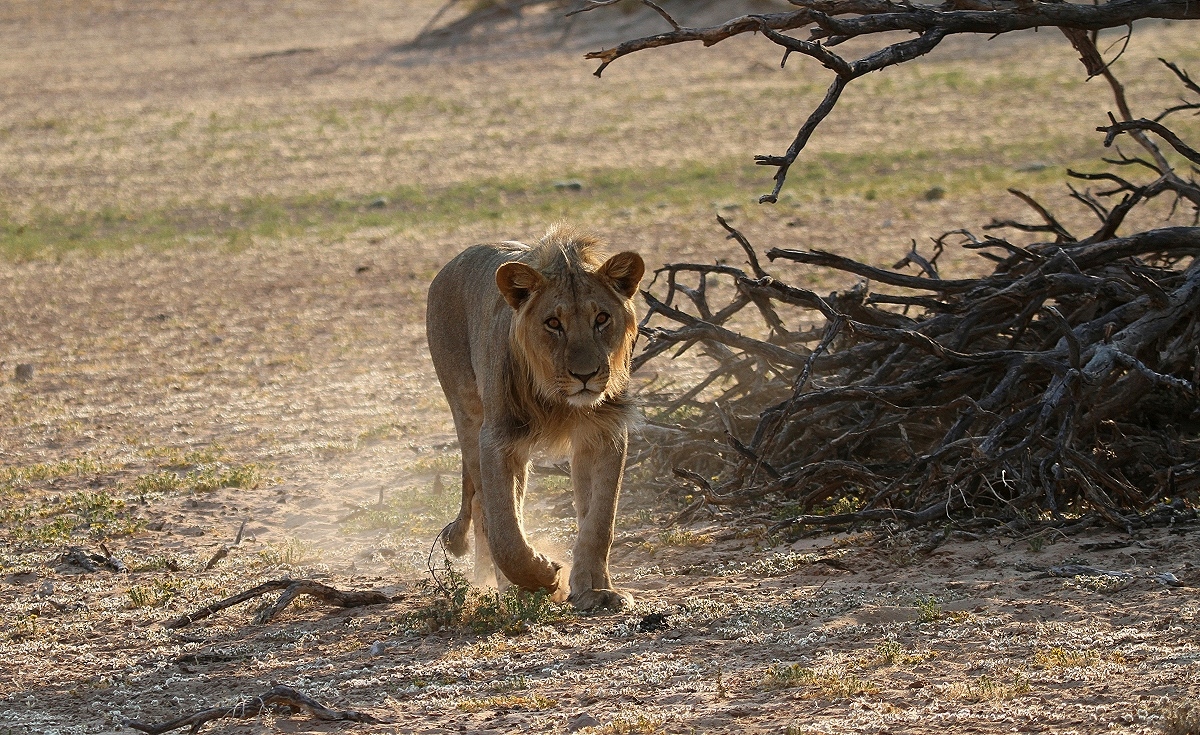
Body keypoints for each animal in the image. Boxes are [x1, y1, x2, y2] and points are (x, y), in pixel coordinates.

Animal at [424, 222, 643, 607]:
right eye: (553, 323)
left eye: (602, 318)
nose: (585, 375)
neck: (559, 401)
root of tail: (451, 263)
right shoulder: (498, 440)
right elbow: (505, 531)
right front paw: (541, 578)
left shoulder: (604, 431)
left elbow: (600, 519)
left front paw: (595, 589)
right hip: (467, 414)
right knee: (483, 509)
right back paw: (501, 585)